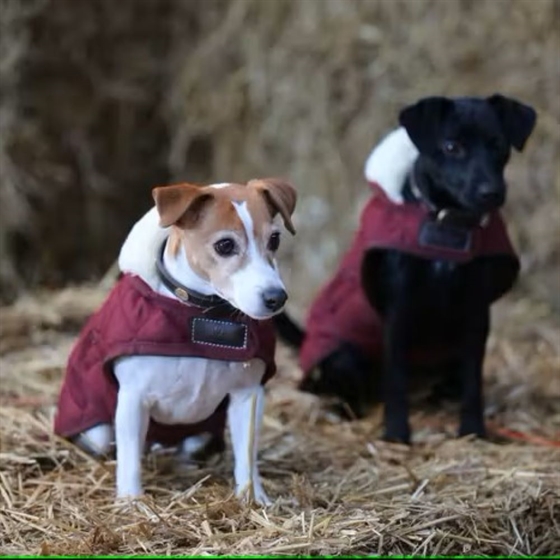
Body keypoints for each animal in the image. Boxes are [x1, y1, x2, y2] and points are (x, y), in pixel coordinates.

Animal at [53, 178, 298, 508]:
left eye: (275, 240)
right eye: (225, 245)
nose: (276, 298)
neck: (201, 313)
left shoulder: (248, 395)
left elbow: (247, 456)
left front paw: (252, 497)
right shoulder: (133, 398)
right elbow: (129, 459)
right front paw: (131, 502)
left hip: (200, 434)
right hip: (98, 430)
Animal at [276, 95, 540, 442]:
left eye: (498, 144)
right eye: (452, 146)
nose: (491, 193)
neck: (447, 226)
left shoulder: (476, 312)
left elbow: (473, 381)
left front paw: (473, 430)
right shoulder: (398, 310)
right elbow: (396, 377)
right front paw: (397, 432)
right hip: (344, 354)